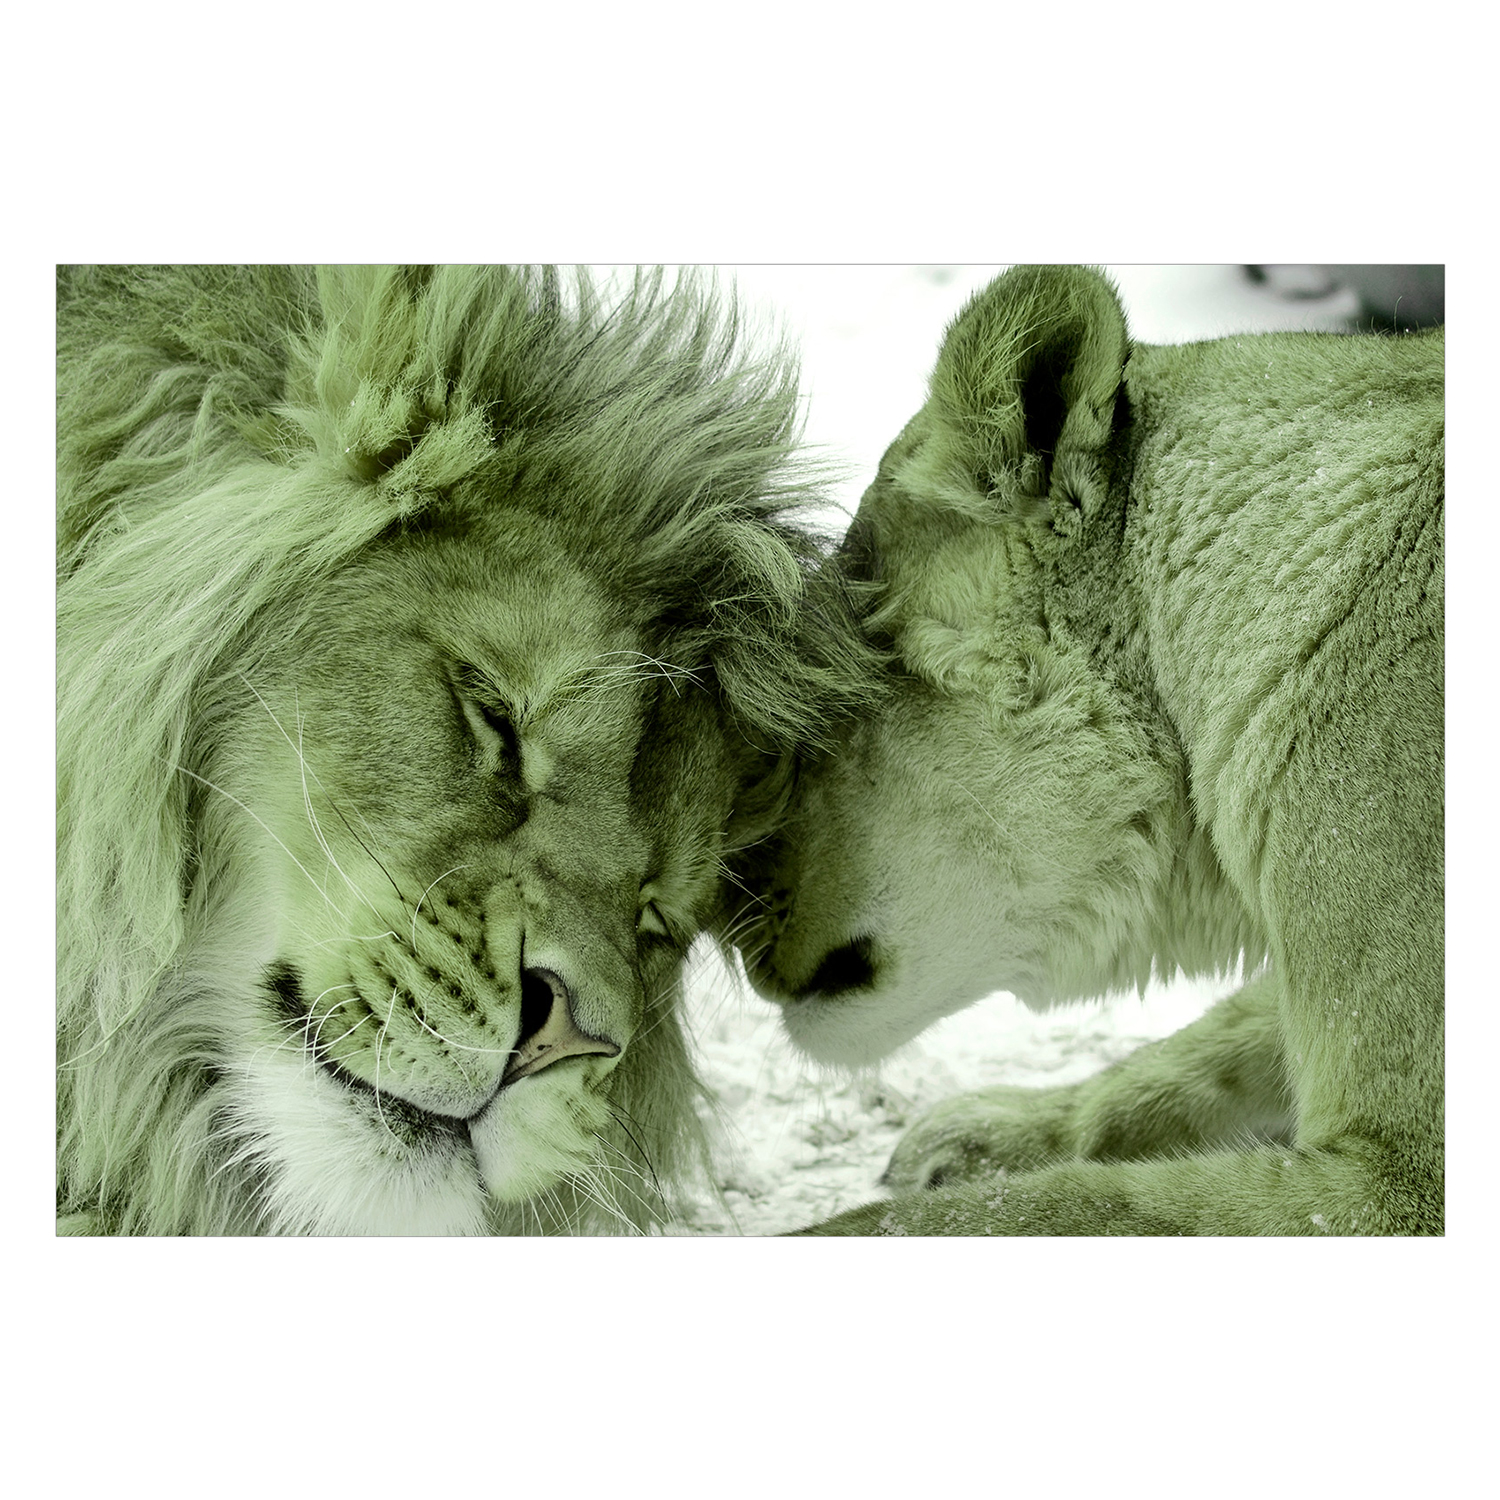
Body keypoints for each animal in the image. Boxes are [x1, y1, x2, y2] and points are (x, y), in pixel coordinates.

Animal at [735, 264, 1443, 1235]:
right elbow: (1198, 1052)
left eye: (819, 710)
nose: (724, 914)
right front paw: (984, 1133)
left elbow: (1057, 1207)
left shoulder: (1401, 1179)